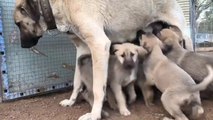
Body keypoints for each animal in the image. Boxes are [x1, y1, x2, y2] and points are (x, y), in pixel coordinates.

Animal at [13, 0, 193, 119]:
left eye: (18, 24)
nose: (21, 45)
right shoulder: (82, 49)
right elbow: (77, 82)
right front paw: (71, 101)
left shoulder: (99, 45)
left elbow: (98, 88)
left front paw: (94, 114)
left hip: (183, 33)